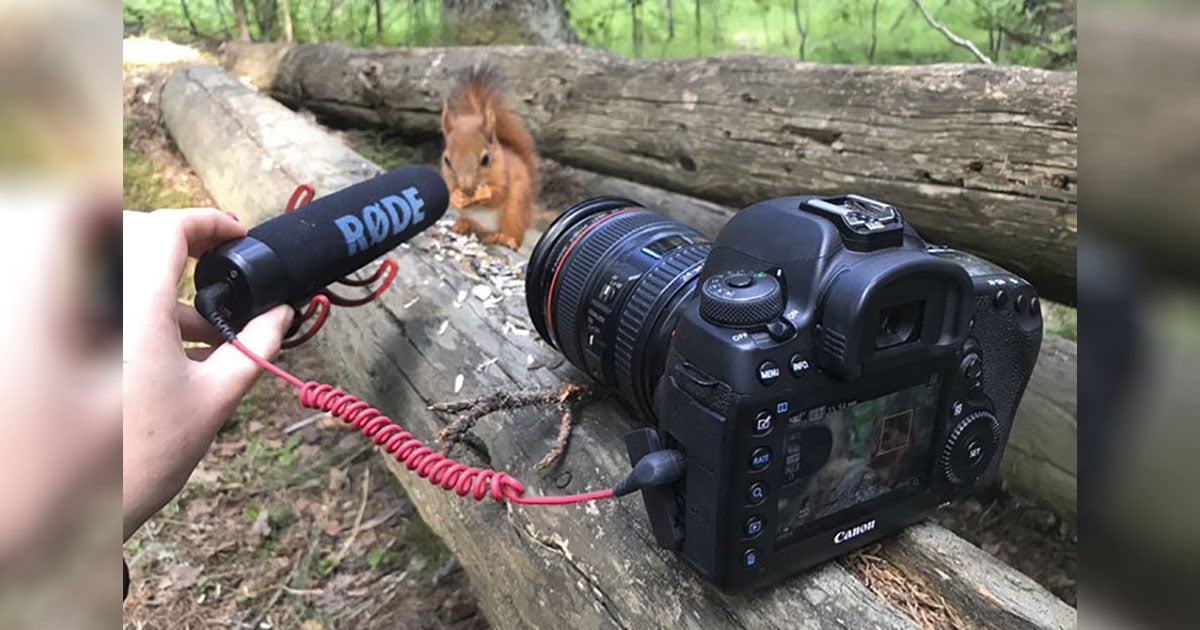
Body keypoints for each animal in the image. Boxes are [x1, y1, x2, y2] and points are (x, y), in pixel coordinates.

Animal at [440, 65, 538, 250]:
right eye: (447, 160)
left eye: (486, 159)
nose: (466, 188)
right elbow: (448, 190)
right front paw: (456, 196)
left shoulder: (505, 176)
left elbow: (498, 194)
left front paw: (482, 193)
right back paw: (464, 225)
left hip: (515, 211)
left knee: (515, 238)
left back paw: (504, 239)